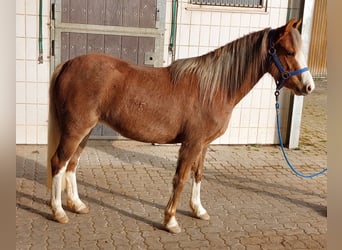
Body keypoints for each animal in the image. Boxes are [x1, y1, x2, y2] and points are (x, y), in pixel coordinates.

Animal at [48, 18, 316, 233]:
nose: (309, 87)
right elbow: (181, 179)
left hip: (86, 130)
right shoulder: (191, 144)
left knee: (72, 165)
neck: (214, 88)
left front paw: (198, 210)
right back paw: (58, 212)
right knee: (59, 163)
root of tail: (68, 64)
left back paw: (77, 205)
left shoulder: (203, 144)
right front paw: (170, 221)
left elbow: (198, 175)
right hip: (75, 129)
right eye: (288, 52)